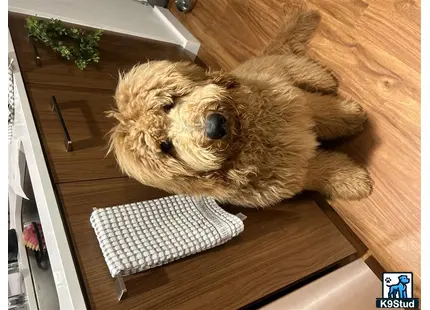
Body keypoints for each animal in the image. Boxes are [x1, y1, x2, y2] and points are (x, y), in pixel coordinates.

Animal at [107, 9, 372, 208]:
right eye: (166, 146)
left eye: (168, 103)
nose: (214, 125)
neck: (248, 135)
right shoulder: (294, 174)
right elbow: (322, 171)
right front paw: (355, 182)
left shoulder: (299, 104)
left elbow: (326, 111)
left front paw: (352, 115)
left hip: (289, 70)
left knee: (308, 72)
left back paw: (326, 80)